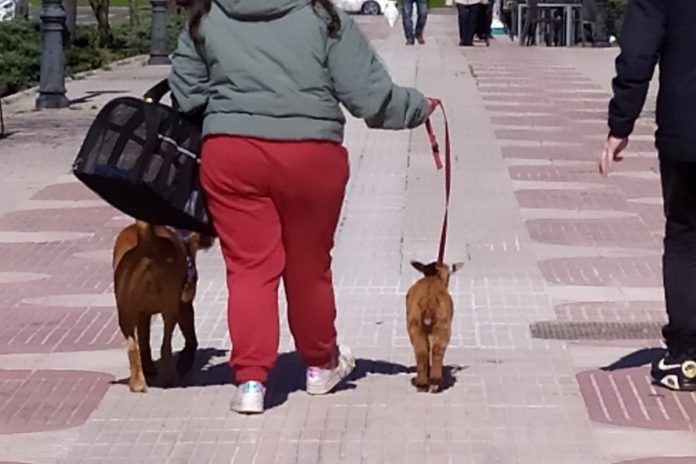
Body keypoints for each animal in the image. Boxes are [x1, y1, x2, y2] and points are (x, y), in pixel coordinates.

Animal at [111, 221, 213, 392]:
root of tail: (148, 245)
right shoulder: (185, 307)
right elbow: (191, 338)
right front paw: (185, 361)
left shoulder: (143, 315)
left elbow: (144, 341)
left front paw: (148, 367)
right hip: (171, 311)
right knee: (166, 345)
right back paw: (166, 379)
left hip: (126, 314)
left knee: (134, 347)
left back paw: (138, 383)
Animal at [406, 260, 460, 392]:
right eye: (449, 275)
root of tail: (429, 302)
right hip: (443, 325)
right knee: (437, 350)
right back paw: (435, 382)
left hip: (415, 323)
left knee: (421, 352)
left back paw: (421, 383)